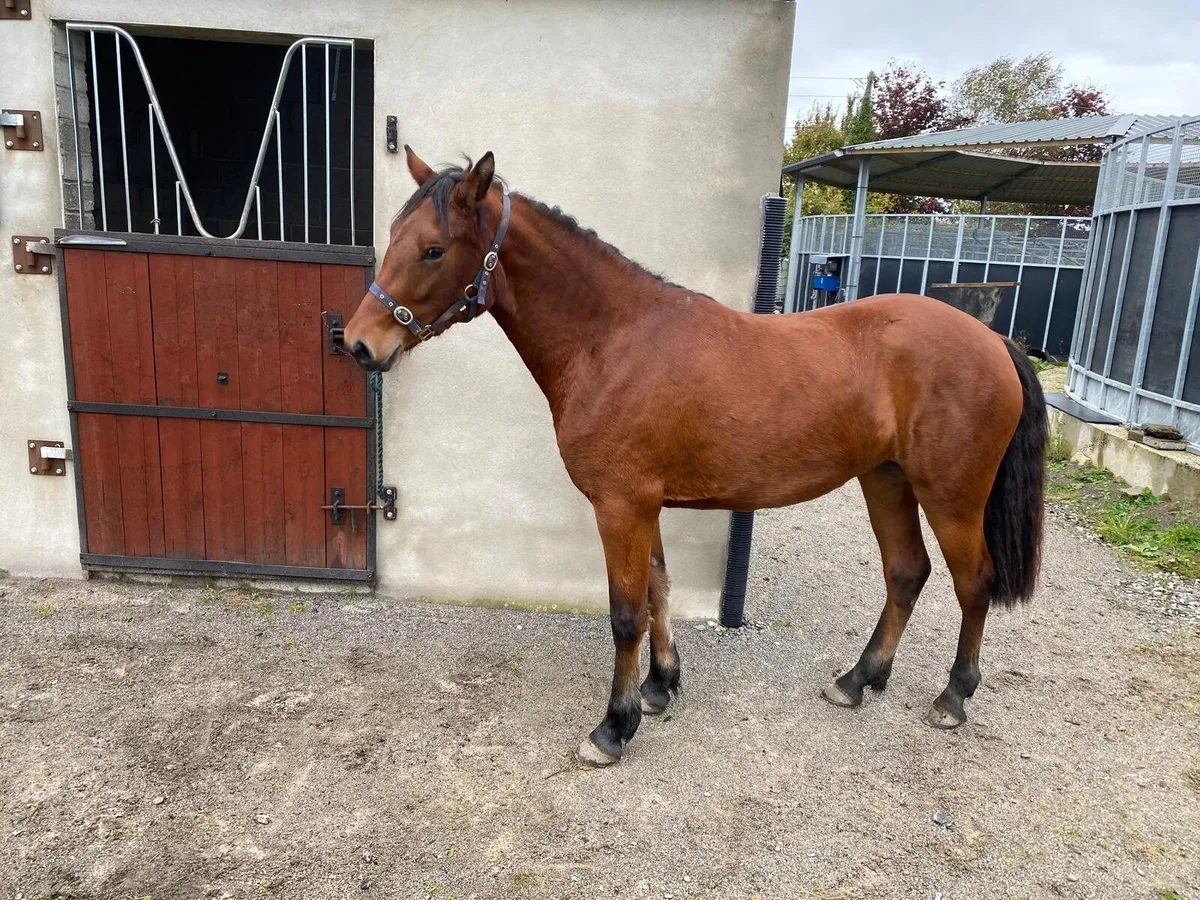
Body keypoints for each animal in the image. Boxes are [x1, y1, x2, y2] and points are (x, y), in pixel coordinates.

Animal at [342, 149, 1048, 767]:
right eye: (395, 234)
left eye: (433, 249)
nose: (356, 343)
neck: (613, 340)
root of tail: (992, 340)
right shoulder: (643, 503)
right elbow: (659, 589)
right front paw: (658, 688)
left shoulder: (620, 506)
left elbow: (626, 613)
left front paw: (613, 727)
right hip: (886, 479)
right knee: (906, 573)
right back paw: (857, 680)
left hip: (951, 496)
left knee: (973, 583)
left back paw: (952, 697)